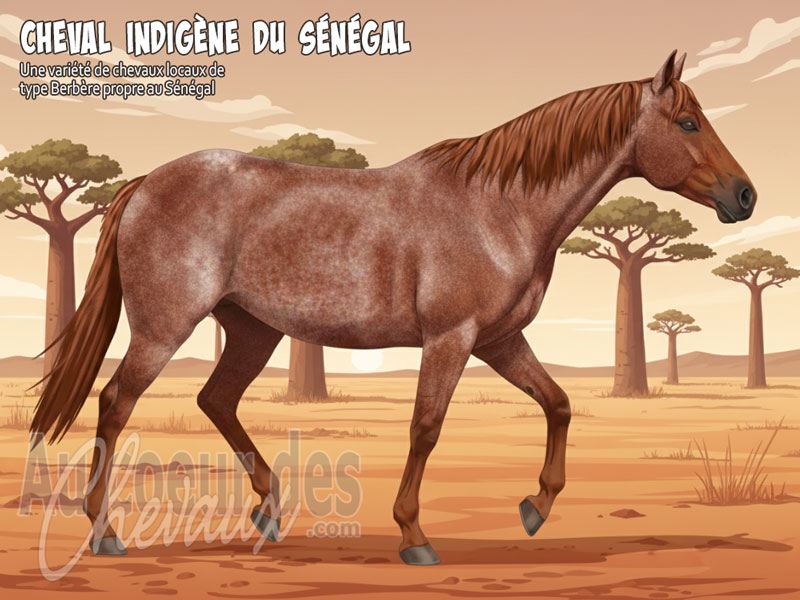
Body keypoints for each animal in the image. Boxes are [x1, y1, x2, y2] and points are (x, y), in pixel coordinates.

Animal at [31, 50, 755, 565]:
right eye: (687, 122)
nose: (744, 195)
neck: (499, 209)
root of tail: (146, 182)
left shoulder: (500, 340)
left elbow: (558, 404)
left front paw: (536, 507)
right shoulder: (452, 338)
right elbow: (426, 428)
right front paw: (414, 536)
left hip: (252, 329)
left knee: (216, 399)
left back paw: (269, 510)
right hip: (165, 328)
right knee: (115, 402)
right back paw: (105, 532)